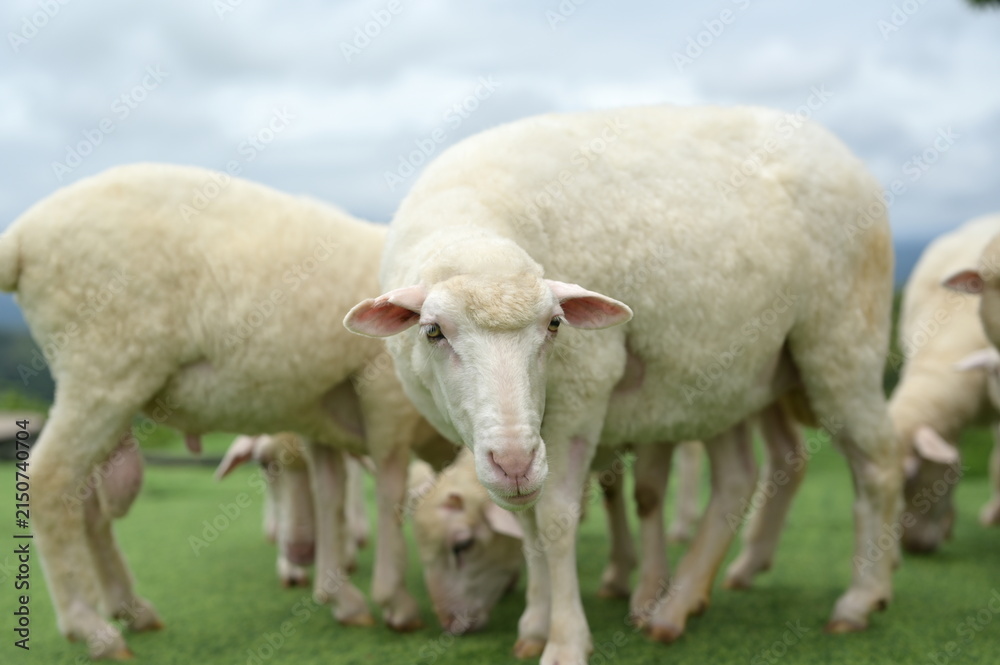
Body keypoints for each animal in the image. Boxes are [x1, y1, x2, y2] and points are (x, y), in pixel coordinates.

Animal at [0, 163, 457, 659]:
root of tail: (21, 236)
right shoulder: (383, 394)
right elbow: (391, 489)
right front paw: (396, 603)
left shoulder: (322, 415)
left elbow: (330, 494)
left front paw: (341, 596)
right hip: (104, 368)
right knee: (47, 480)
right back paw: (91, 627)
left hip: (100, 383)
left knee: (83, 501)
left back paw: (130, 609)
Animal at [345, 105, 899, 663]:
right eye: (432, 331)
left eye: (555, 324)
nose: (515, 461)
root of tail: (837, 148)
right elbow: (526, 524)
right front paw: (534, 624)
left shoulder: (582, 393)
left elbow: (556, 520)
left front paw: (565, 640)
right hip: (732, 373)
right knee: (744, 476)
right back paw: (680, 607)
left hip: (841, 342)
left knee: (876, 467)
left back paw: (860, 599)